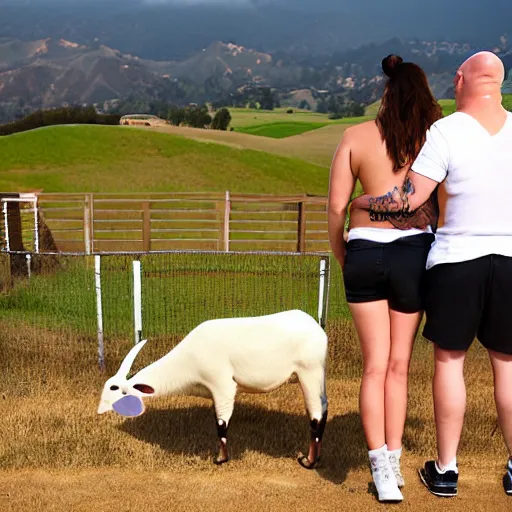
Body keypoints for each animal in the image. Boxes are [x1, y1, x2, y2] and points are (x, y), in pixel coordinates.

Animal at [97, 308, 328, 468]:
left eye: (114, 388)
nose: (100, 410)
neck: (187, 359)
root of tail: (316, 327)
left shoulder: (222, 385)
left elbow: (221, 424)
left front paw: (220, 459)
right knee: (323, 409)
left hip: (309, 371)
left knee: (316, 414)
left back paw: (308, 461)